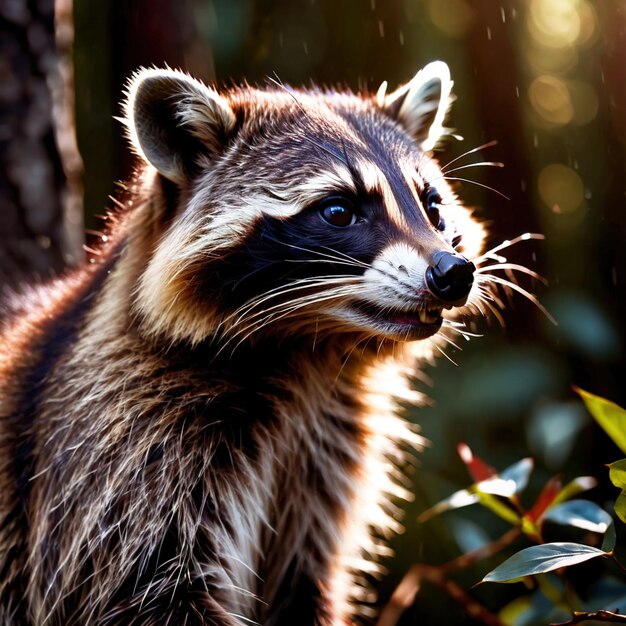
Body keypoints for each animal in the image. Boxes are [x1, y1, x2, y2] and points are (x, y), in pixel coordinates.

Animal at [0, 59, 498, 624]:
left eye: (432, 205)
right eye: (338, 211)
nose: (453, 272)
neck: (309, 352)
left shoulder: (324, 458)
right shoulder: (123, 450)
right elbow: (146, 592)